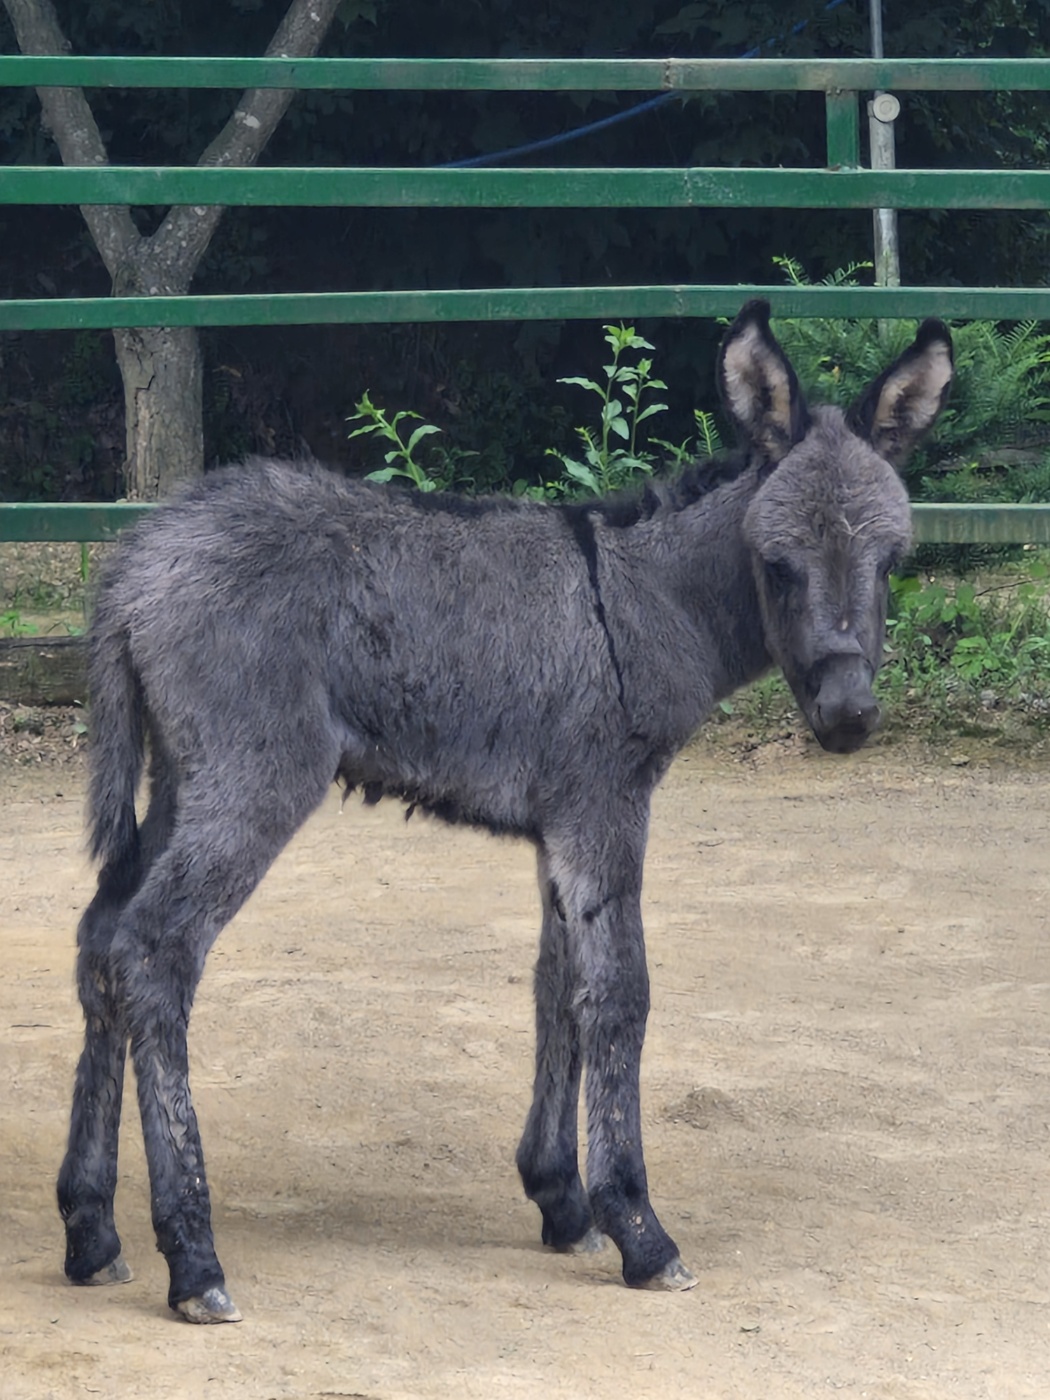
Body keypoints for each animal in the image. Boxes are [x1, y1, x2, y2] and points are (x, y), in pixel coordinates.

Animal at [61, 301, 957, 1316]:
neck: (647, 599)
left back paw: (91, 1229)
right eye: (778, 566)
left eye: (891, 562)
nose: (848, 718)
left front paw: (561, 1199)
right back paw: (194, 1257)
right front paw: (638, 1226)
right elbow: (618, 995)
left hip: (181, 780)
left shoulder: (562, 821)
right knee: (155, 949)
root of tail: (137, 559)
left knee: (101, 938)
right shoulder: (607, 803)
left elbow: (553, 986)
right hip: (254, 781)